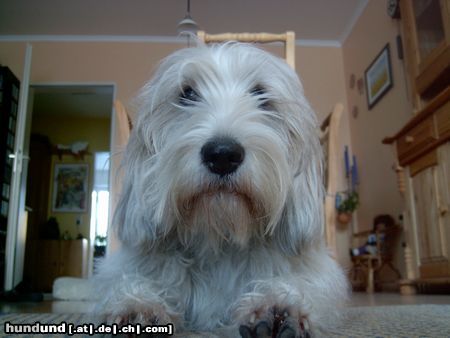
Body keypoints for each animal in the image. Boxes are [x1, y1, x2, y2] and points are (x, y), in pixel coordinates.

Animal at [94, 43, 348, 336]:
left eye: (261, 94)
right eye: (187, 94)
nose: (223, 155)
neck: (220, 237)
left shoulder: (318, 273)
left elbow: (304, 283)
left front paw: (278, 306)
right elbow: (131, 280)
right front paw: (139, 306)